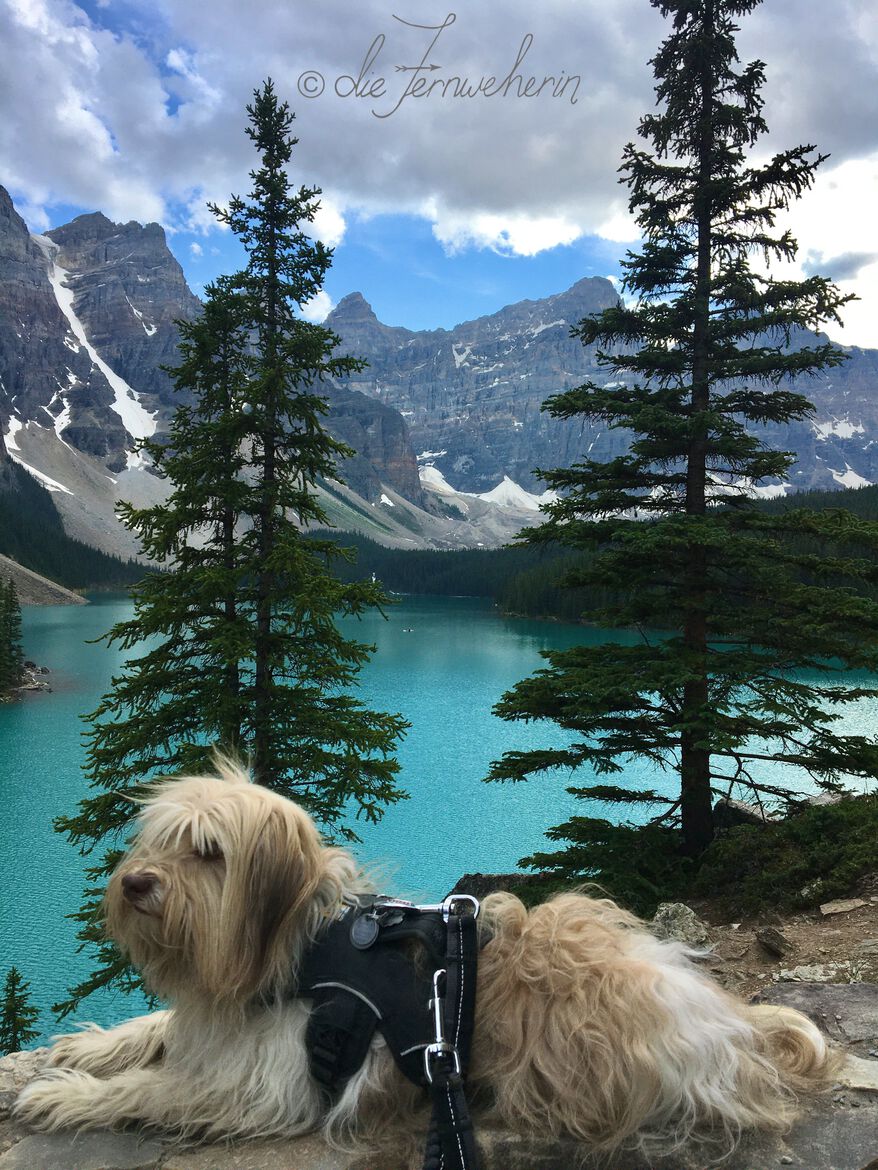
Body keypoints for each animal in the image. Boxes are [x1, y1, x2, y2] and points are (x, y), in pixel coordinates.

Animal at [17, 758, 833, 1160]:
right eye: (154, 841)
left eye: (209, 853)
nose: (135, 884)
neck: (295, 945)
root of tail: (725, 1024)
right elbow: (151, 1033)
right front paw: (65, 1054)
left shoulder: (265, 1087)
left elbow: (158, 1089)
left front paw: (67, 1095)